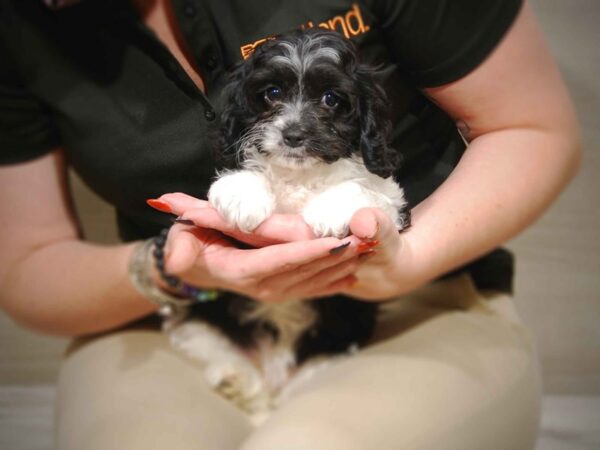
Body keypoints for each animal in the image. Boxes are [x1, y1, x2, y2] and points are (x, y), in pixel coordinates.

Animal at [171, 29, 410, 422]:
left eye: (331, 99)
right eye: (272, 93)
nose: (293, 134)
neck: (301, 174)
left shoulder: (391, 202)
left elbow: (364, 188)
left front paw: (331, 207)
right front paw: (243, 192)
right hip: (199, 327)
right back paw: (234, 379)